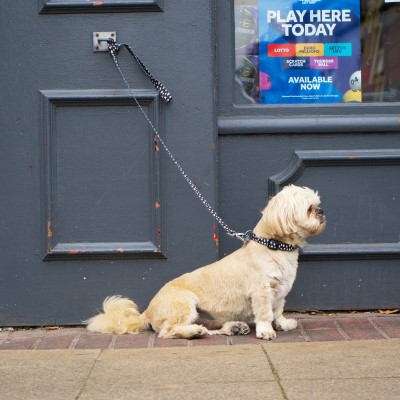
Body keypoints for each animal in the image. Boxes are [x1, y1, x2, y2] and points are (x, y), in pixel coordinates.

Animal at [84, 185, 324, 340]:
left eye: (317, 205)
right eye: (308, 209)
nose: (321, 211)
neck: (275, 246)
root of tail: (147, 312)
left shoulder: (280, 292)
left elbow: (278, 311)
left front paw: (283, 324)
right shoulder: (262, 291)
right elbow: (266, 313)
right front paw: (266, 331)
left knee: (208, 327)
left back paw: (232, 328)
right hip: (184, 303)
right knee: (168, 331)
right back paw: (194, 333)